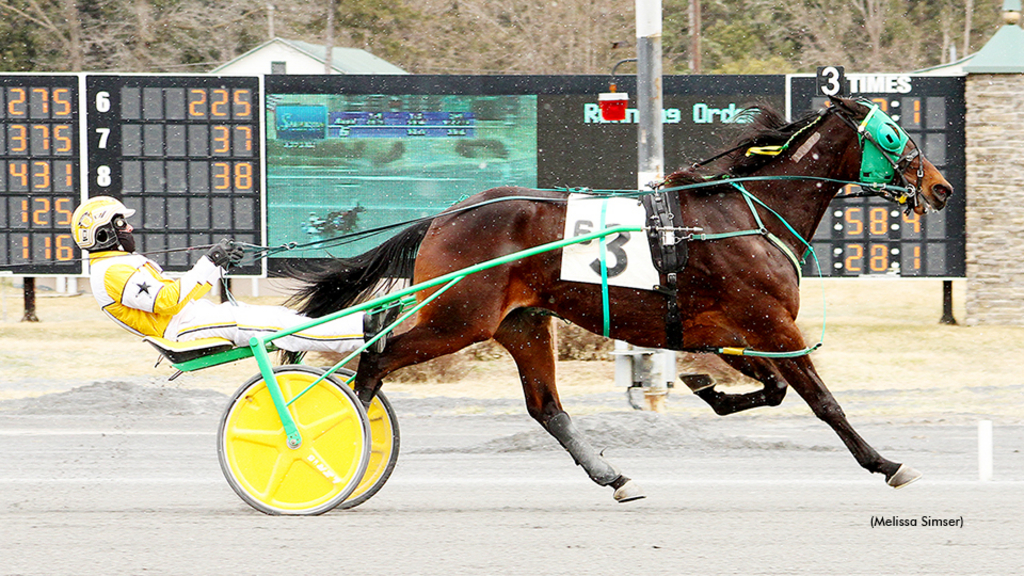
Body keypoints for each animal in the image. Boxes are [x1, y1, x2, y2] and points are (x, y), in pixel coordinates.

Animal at [286, 96, 950, 500]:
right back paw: (336, 449)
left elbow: (772, 388)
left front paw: (705, 389)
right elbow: (822, 402)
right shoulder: (772, 325)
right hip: (457, 319)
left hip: (522, 324)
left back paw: (614, 475)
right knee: (375, 358)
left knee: (546, 407)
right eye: (894, 134)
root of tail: (445, 216)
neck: (746, 212)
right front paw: (888, 464)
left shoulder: (732, 329)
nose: (941, 188)